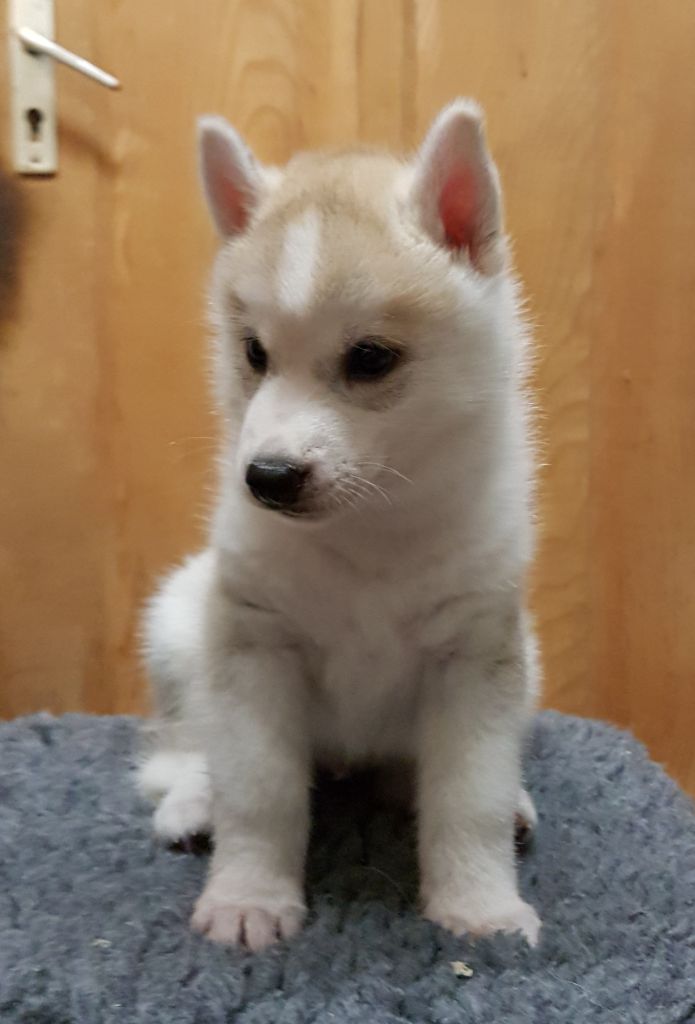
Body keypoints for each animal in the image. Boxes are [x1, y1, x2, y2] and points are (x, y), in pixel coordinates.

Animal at [137, 99, 541, 952]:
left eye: (370, 358)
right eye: (253, 353)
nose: (266, 477)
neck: (370, 528)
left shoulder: (475, 654)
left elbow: (470, 798)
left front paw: (479, 907)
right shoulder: (255, 645)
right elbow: (258, 792)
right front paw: (249, 897)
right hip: (179, 625)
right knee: (182, 746)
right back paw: (191, 800)